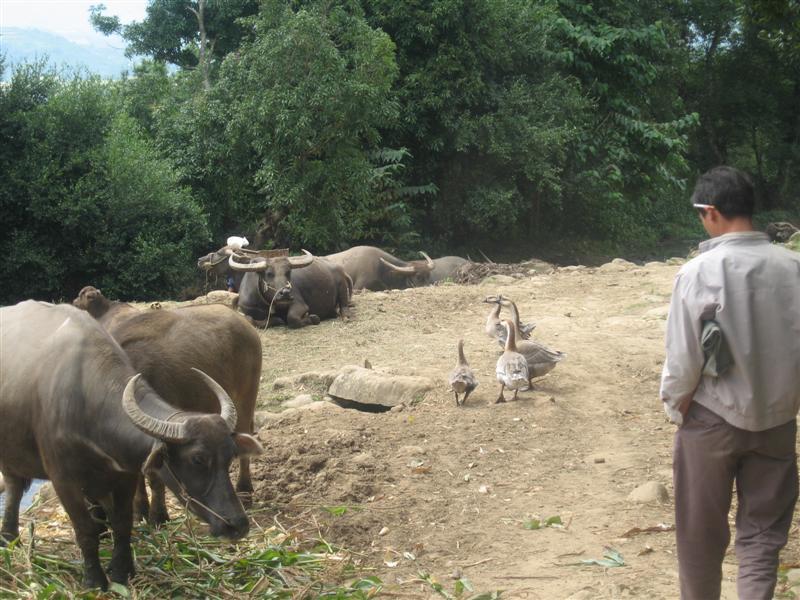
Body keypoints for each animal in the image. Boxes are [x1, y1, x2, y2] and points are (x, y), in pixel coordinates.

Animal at [72, 286, 262, 524]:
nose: (96, 517)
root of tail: (241, 320)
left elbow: (154, 477)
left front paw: (158, 515)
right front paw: (140, 509)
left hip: (246, 397)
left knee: (246, 435)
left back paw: (244, 491)